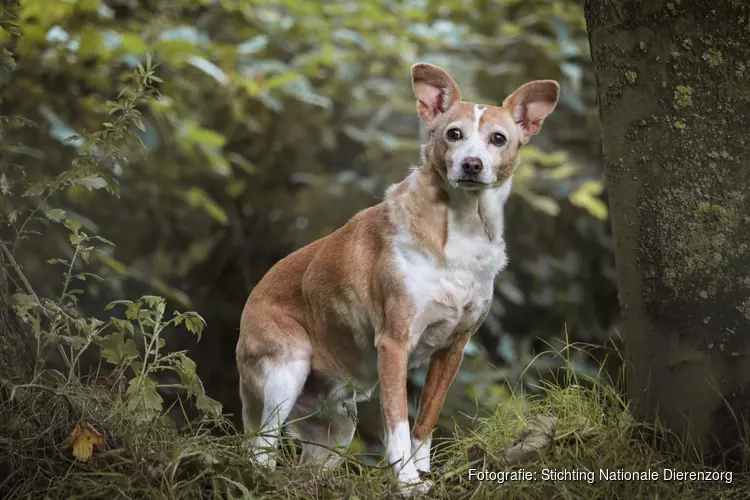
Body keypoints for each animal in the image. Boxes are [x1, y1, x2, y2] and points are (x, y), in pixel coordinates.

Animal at [235, 63, 560, 496]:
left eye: (498, 139)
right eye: (453, 134)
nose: (472, 164)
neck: (462, 230)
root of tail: (250, 299)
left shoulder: (452, 351)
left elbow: (424, 425)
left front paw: (423, 476)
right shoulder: (394, 344)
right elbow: (398, 424)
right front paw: (405, 480)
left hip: (337, 423)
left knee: (308, 464)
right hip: (286, 372)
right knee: (261, 449)